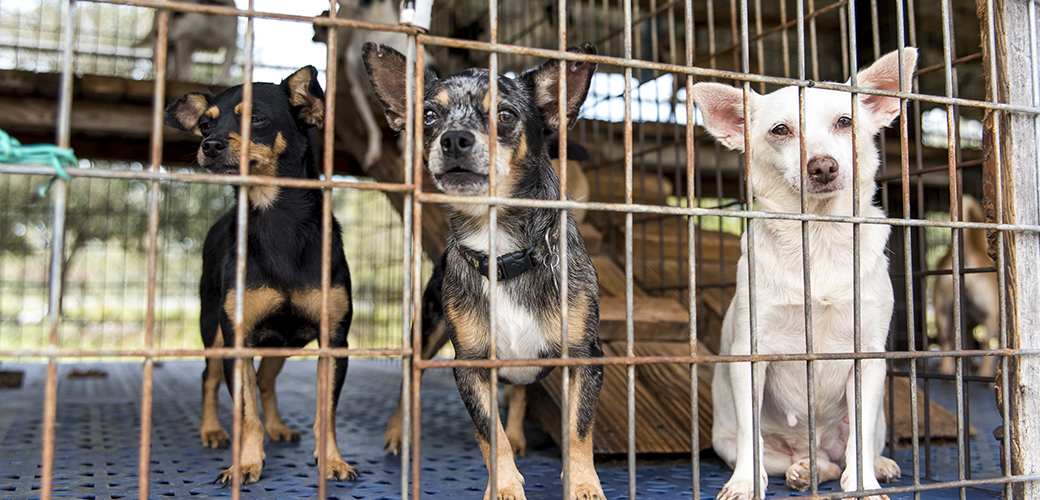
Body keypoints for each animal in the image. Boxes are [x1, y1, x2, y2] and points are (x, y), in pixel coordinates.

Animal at [163, 65, 357, 482]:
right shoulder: (238, 343)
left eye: (257, 119)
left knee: (266, 382)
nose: (211, 145)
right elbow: (245, 412)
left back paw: (278, 427)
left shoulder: (333, 342)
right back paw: (212, 431)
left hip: (280, 344)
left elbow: (326, 412)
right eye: (205, 125)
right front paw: (246, 463)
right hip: (213, 331)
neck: (276, 220)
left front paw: (332, 460)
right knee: (209, 380)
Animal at [366, 43, 607, 498]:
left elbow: (579, 429)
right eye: (429, 116)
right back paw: (396, 432)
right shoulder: (471, 366)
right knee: (410, 386)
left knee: (520, 395)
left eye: (506, 115)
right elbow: (488, 434)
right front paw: (505, 487)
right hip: (427, 329)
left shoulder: (585, 359)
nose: (454, 139)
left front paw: (583, 485)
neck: (502, 253)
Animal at [694, 47, 915, 498]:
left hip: (875, 420)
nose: (823, 166)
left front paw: (864, 485)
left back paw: (875, 466)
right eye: (781, 130)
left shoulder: (866, 357)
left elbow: (859, 442)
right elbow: (751, 437)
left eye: (845, 122)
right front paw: (744, 484)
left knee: (855, 448)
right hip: (728, 441)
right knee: (802, 461)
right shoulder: (751, 354)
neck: (819, 236)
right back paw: (805, 470)